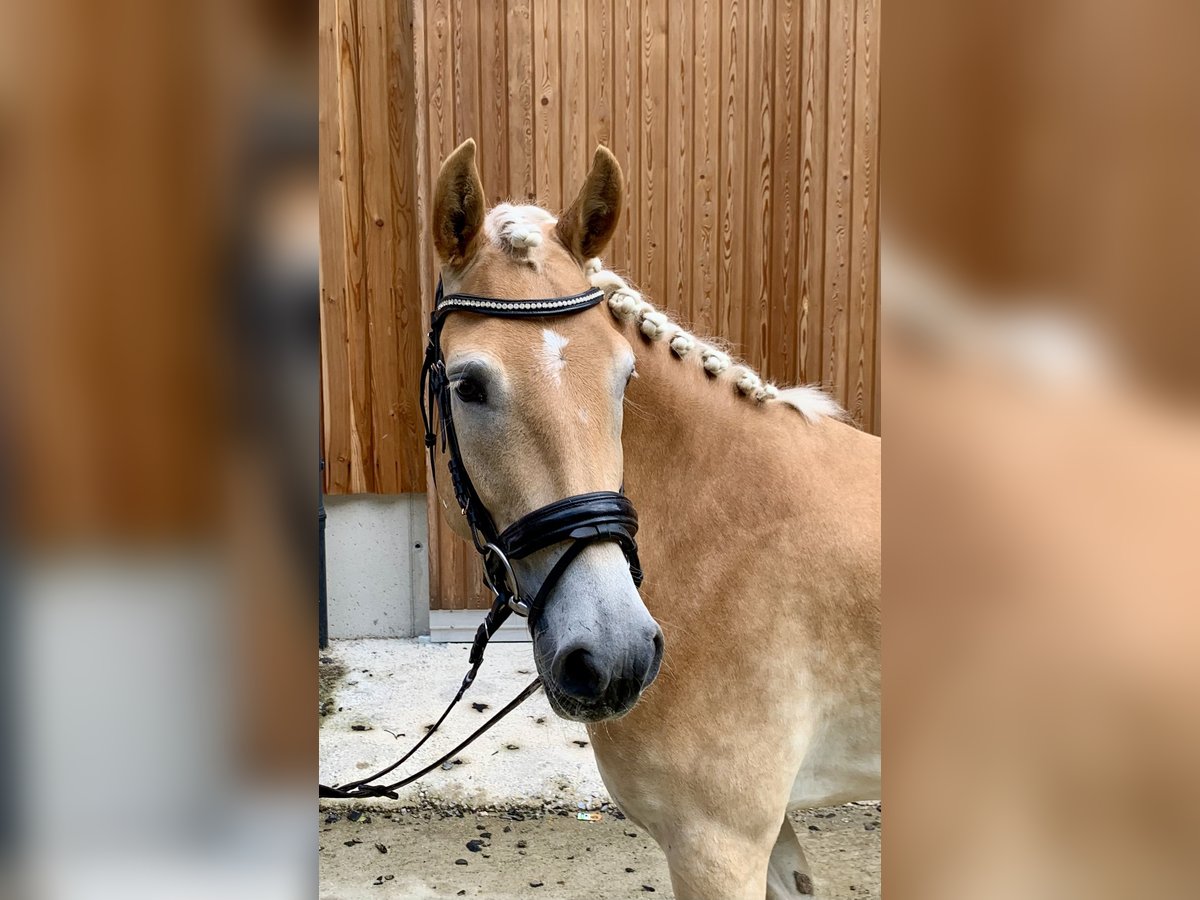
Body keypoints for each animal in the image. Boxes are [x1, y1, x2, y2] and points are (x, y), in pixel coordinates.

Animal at [427, 137, 878, 897]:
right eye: (468, 385)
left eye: (624, 378)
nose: (615, 658)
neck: (722, 539)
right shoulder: (758, 838)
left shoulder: (717, 844)